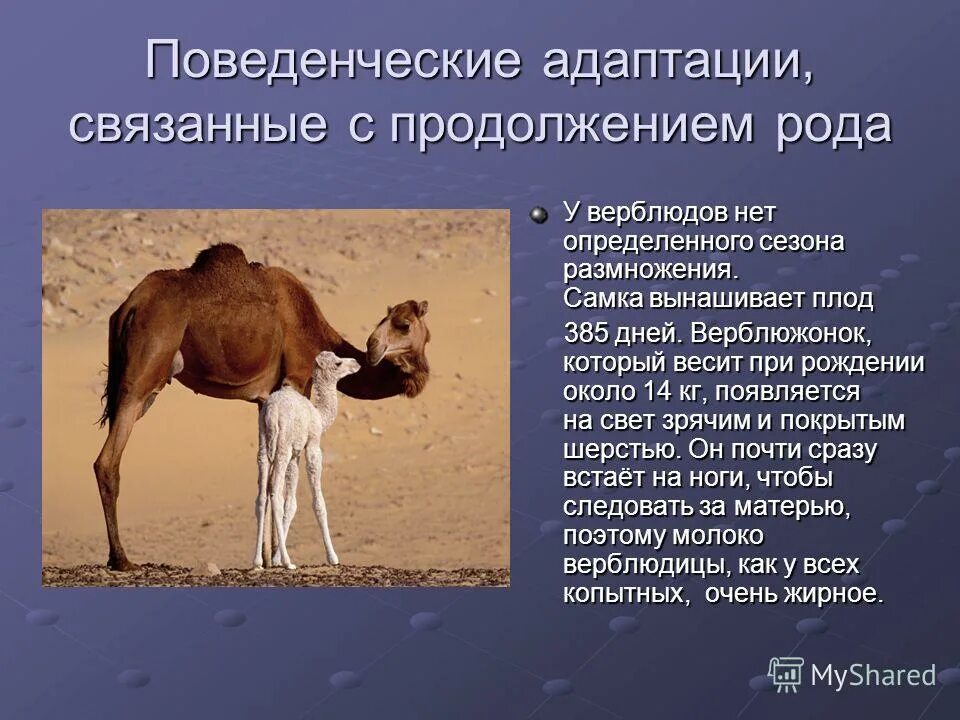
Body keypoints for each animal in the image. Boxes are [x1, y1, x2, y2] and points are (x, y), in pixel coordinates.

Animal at [255, 352, 360, 570]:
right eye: (338, 363)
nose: (356, 363)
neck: (319, 415)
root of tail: (272, 411)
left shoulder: (295, 455)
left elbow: (291, 504)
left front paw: (275, 559)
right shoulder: (312, 445)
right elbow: (318, 502)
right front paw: (332, 557)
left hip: (264, 444)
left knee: (261, 497)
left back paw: (258, 561)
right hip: (282, 446)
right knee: (274, 494)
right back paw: (289, 562)